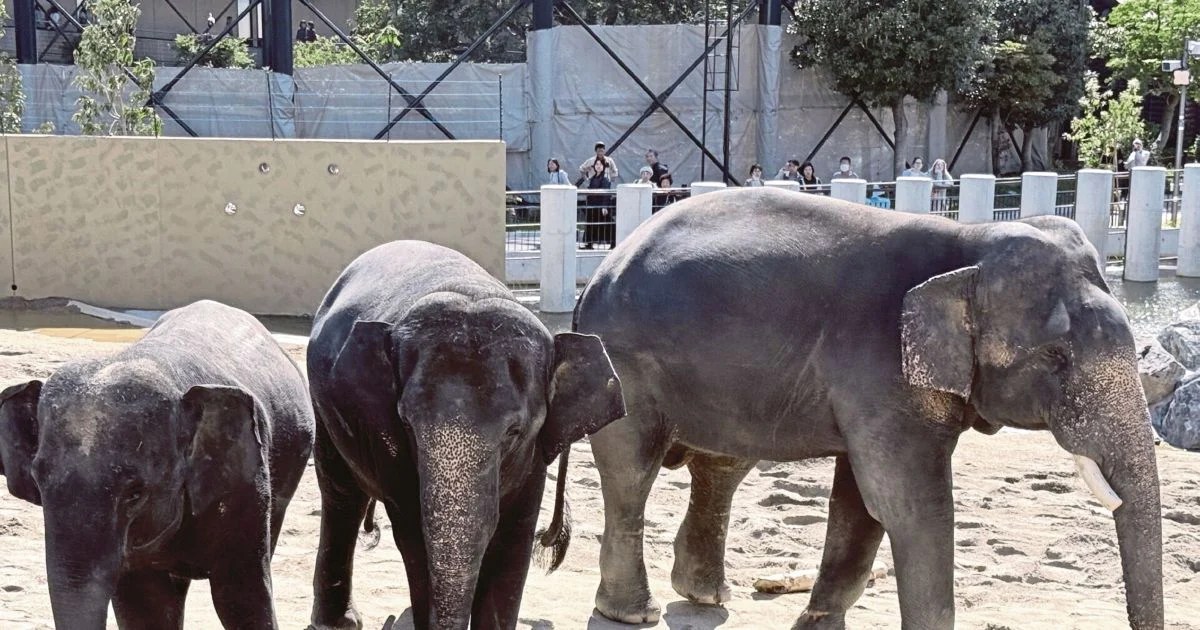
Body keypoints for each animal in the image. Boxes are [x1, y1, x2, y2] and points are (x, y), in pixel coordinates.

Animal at [305, 240, 626, 630]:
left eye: (514, 432)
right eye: (407, 425)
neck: (471, 289)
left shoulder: (533, 455)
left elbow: (512, 540)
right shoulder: (388, 438)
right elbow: (414, 535)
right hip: (322, 405)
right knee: (342, 494)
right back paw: (338, 622)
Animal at [572, 187, 1162, 629]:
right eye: (1056, 356)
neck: (967, 243)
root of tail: (601, 269)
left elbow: (861, 500)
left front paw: (816, 626)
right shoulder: (879, 368)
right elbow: (908, 503)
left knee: (722, 466)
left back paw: (706, 596)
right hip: (627, 360)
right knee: (633, 469)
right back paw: (633, 613)